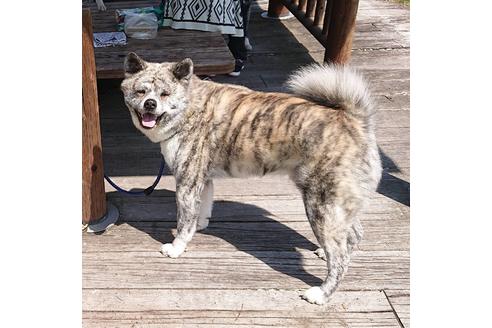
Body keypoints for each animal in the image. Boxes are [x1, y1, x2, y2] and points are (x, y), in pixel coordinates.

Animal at [121, 52, 382, 304]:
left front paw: (177, 247)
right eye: (141, 91)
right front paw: (200, 225)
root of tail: (355, 121)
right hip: (338, 205)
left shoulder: (187, 182)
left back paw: (320, 294)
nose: (150, 104)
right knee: (354, 234)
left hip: (321, 206)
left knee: (339, 258)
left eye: (165, 94)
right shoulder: (202, 180)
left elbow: (184, 221)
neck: (189, 107)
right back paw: (324, 252)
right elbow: (202, 208)